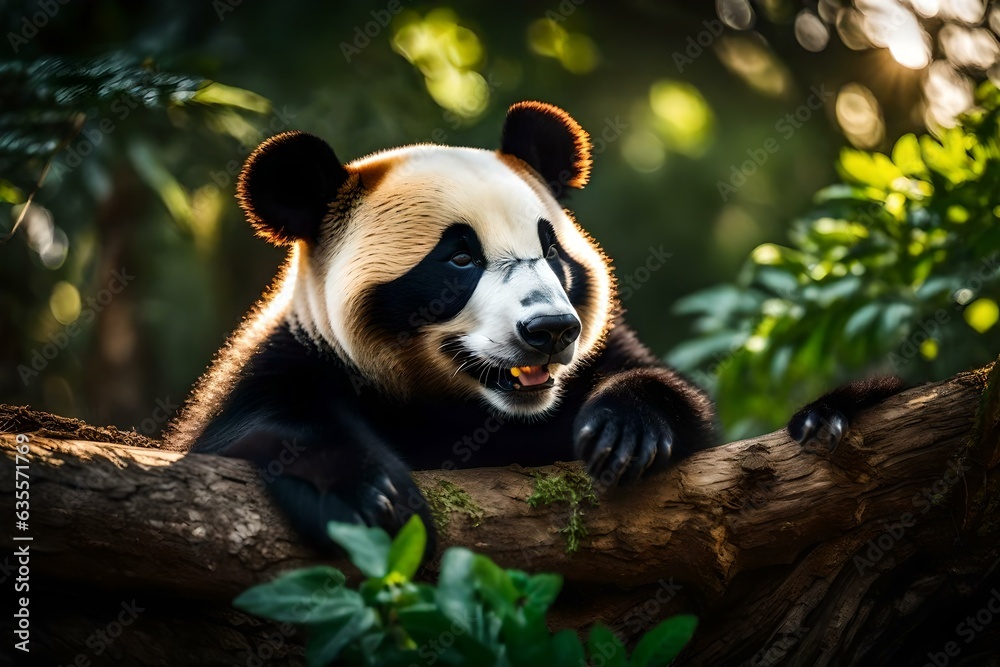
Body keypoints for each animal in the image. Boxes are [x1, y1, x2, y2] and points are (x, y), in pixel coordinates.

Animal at [167, 101, 900, 550]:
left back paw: (832, 417)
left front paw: (627, 433)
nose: (550, 329)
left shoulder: (598, 355)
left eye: (550, 250)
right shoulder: (294, 357)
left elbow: (680, 402)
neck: (461, 408)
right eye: (459, 257)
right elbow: (254, 428)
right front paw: (372, 496)